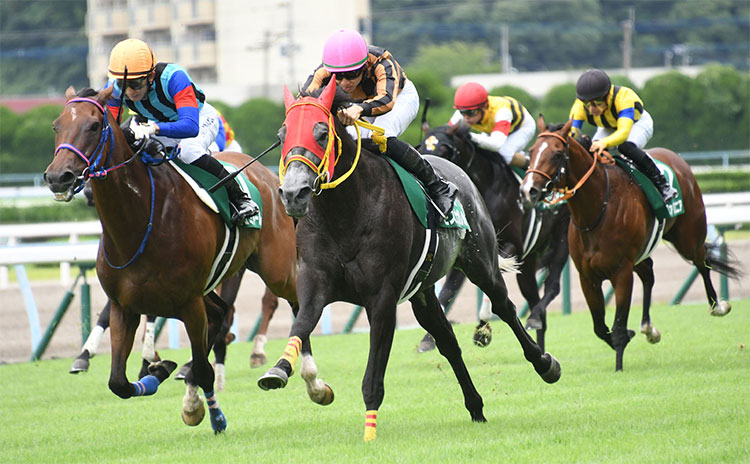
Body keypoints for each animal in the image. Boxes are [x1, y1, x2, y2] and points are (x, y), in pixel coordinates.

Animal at [45, 88, 300, 436]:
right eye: (57, 126)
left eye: (94, 126)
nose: (59, 177)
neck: (139, 221)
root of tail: (267, 173)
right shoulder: (125, 304)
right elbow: (118, 382)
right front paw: (158, 369)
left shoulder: (188, 302)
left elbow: (203, 369)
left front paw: (210, 414)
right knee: (221, 314)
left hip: (276, 269)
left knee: (292, 302)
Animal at [258, 80, 560, 442]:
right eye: (282, 134)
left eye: (321, 132)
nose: (293, 193)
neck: (344, 212)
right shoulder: (315, 282)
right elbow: (301, 325)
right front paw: (282, 372)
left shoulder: (382, 299)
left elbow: (373, 374)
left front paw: (369, 432)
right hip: (422, 293)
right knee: (448, 341)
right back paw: (475, 407)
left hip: (481, 264)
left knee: (506, 308)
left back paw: (545, 363)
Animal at [520, 115, 744, 370]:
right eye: (532, 151)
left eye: (557, 154)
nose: (528, 191)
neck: (597, 210)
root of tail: (676, 158)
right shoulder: (587, 277)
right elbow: (600, 328)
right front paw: (629, 335)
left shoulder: (621, 272)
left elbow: (617, 326)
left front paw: (619, 365)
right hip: (642, 252)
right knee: (649, 274)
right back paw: (648, 328)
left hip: (687, 236)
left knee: (701, 260)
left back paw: (718, 306)